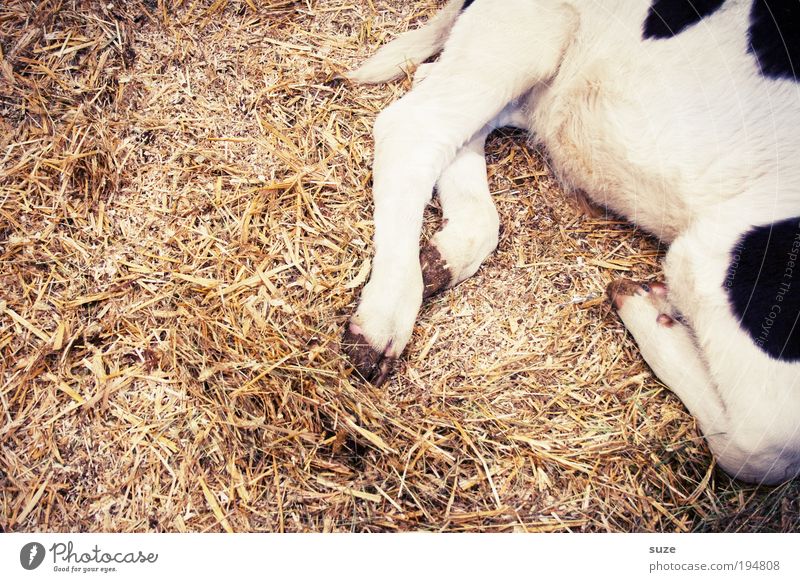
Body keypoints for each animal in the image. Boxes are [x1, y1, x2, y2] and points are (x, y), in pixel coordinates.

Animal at [340, 0, 800, 486]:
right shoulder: (721, 250)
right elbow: (764, 443)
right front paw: (643, 303)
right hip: (524, 32)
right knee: (414, 125)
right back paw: (382, 323)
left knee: (450, 106)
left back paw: (445, 256)